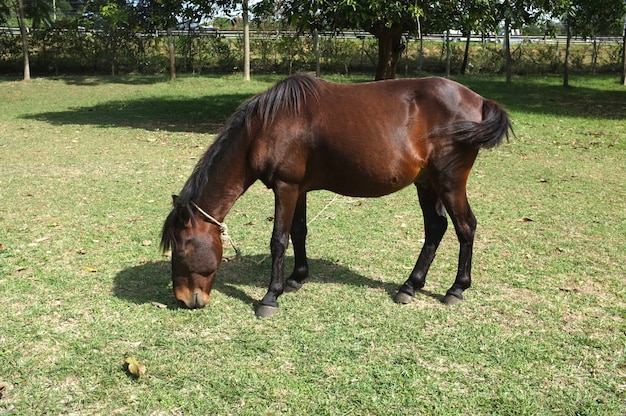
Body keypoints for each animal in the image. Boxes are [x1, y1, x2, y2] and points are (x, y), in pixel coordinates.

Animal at [161, 75, 512, 316]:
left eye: (181, 248)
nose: (183, 299)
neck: (266, 125)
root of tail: (478, 100)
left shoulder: (286, 187)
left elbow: (279, 240)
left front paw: (270, 297)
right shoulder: (298, 189)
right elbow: (299, 232)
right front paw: (297, 278)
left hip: (449, 181)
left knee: (465, 227)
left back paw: (456, 288)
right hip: (427, 183)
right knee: (436, 228)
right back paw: (410, 285)